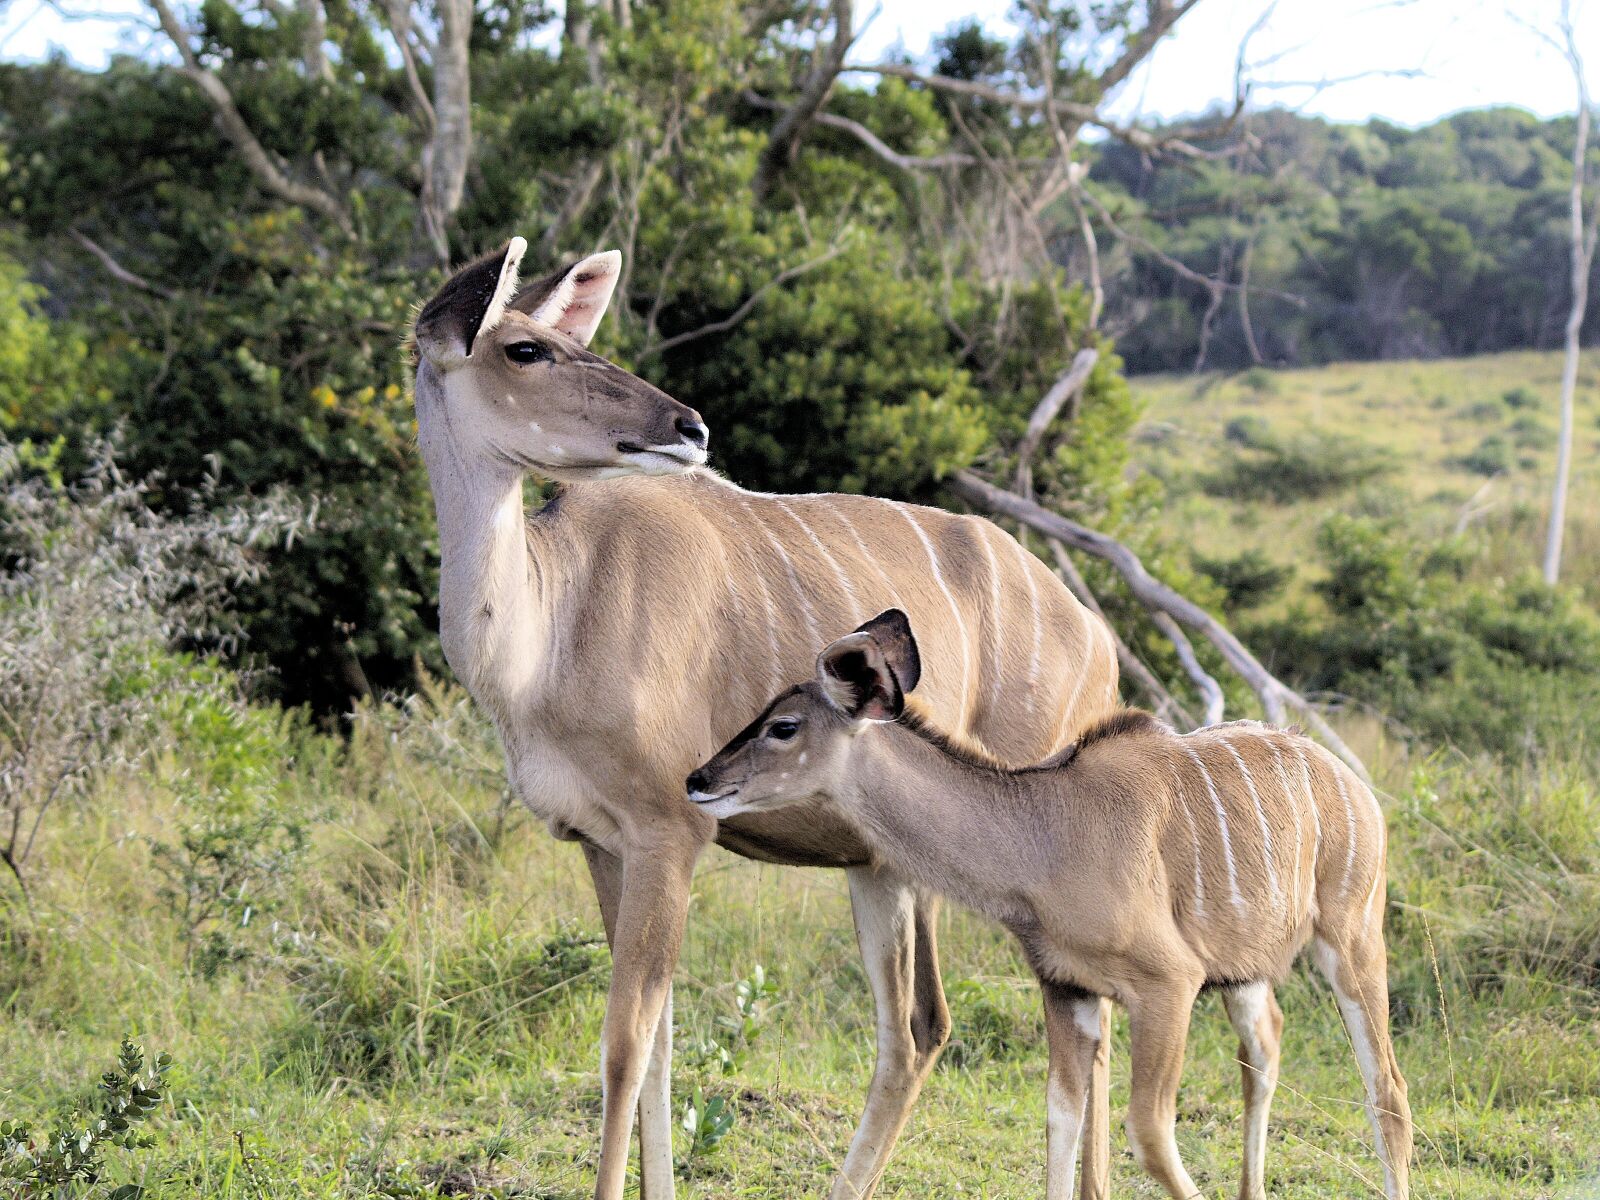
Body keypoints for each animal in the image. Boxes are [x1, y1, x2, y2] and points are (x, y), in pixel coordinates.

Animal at [406, 240, 1120, 1196]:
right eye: (526, 349)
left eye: (557, 340)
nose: (688, 427)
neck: (549, 631)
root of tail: (1098, 638)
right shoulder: (601, 841)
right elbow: (661, 1044)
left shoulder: (670, 832)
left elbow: (625, 1044)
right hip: (881, 867)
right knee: (925, 1029)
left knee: (1065, 1027)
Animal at [688, 611, 1414, 1200]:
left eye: (783, 726)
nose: (698, 779)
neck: (1045, 835)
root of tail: (1356, 788)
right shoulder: (1069, 989)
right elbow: (1062, 1120)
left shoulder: (1168, 984)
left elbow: (1149, 1133)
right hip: (1246, 973)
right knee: (1266, 1051)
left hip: (1352, 942)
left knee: (1389, 1093)